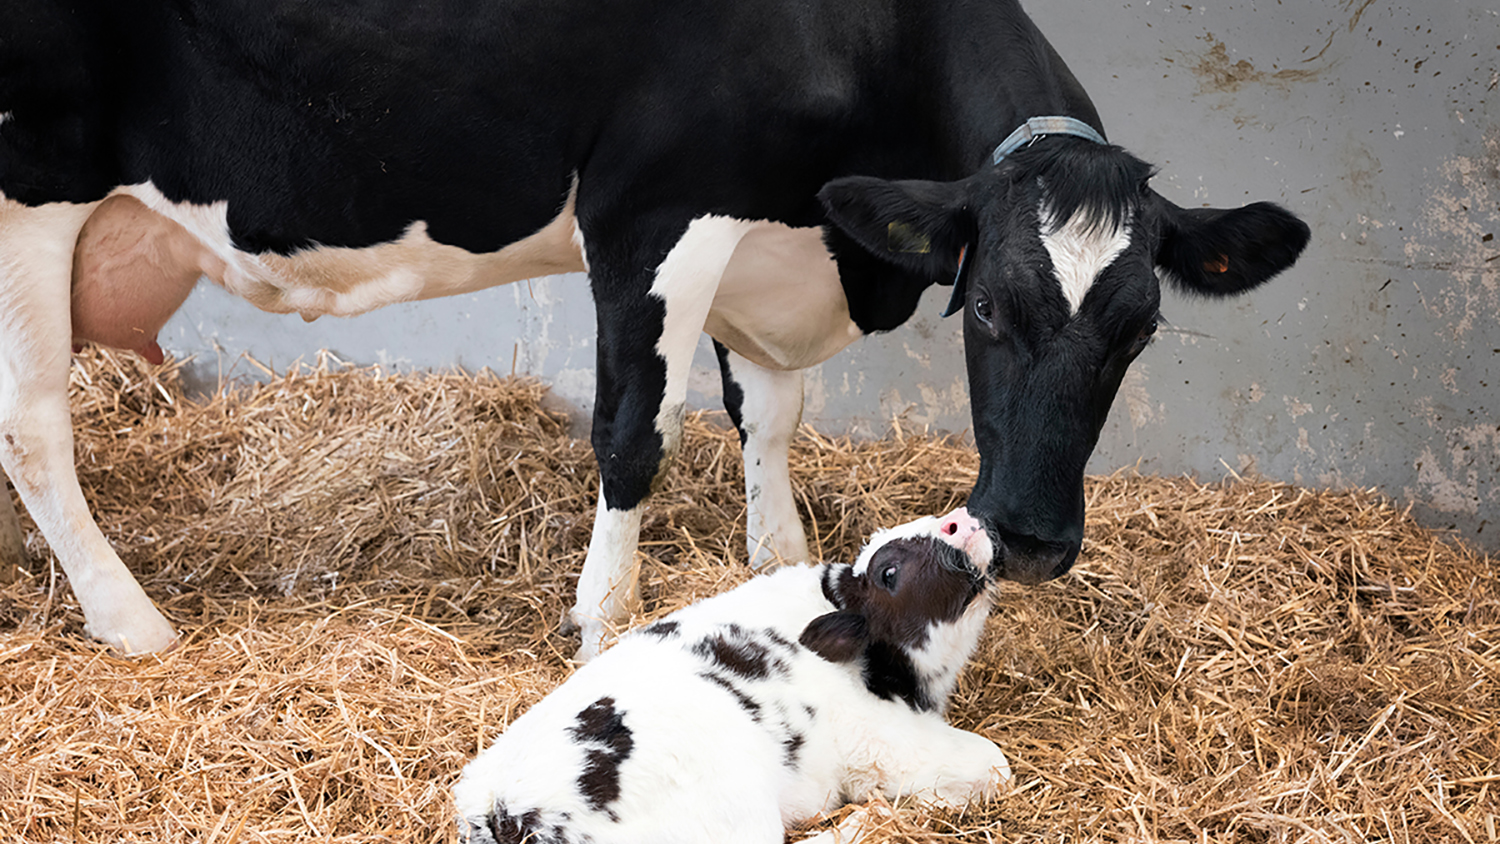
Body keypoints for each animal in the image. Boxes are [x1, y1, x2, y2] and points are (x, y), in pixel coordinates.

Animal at [0, 0, 1310, 658]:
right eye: (986, 305)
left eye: (1140, 328)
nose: (1033, 539)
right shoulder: (651, 209)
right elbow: (634, 433)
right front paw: (597, 625)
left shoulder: (764, 239)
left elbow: (768, 420)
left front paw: (782, 573)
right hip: (26, 191)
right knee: (33, 427)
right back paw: (132, 623)